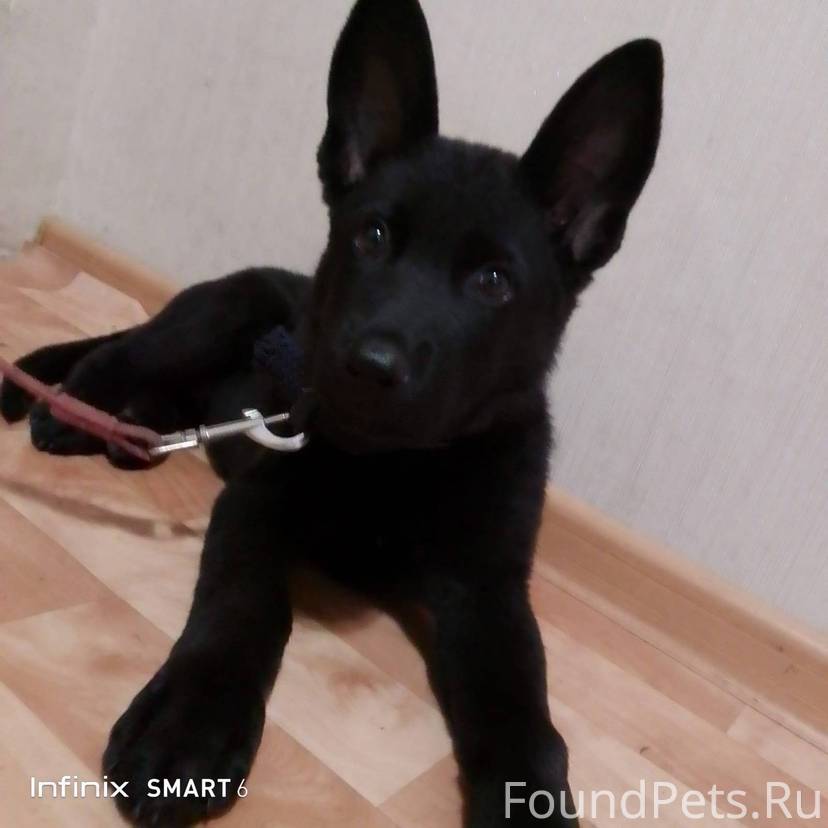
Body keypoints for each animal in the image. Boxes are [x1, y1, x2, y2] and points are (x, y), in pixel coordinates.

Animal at [1, 0, 662, 824]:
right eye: (371, 236)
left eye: (493, 282)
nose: (370, 367)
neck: (396, 464)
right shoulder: (254, 506)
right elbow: (243, 605)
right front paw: (189, 722)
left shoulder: (491, 588)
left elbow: (524, 710)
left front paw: (529, 802)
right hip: (219, 311)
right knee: (122, 347)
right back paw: (75, 407)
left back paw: (130, 432)